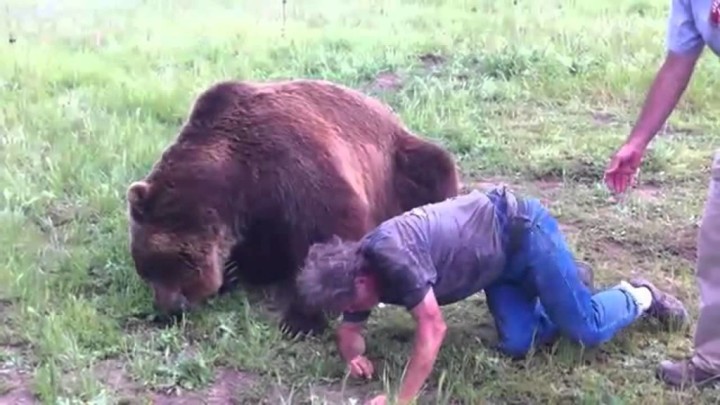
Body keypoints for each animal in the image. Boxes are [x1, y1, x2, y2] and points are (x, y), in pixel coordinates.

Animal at [126, 78, 460, 336]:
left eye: (176, 263)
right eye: (146, 269)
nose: (170, 308)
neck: (237, 178)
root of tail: (388, 112)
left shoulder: (291, 163)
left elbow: (331, 229)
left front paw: (301, 320)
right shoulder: (258, 213)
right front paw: (235, 272)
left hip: (399, 165)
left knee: (434, 168)